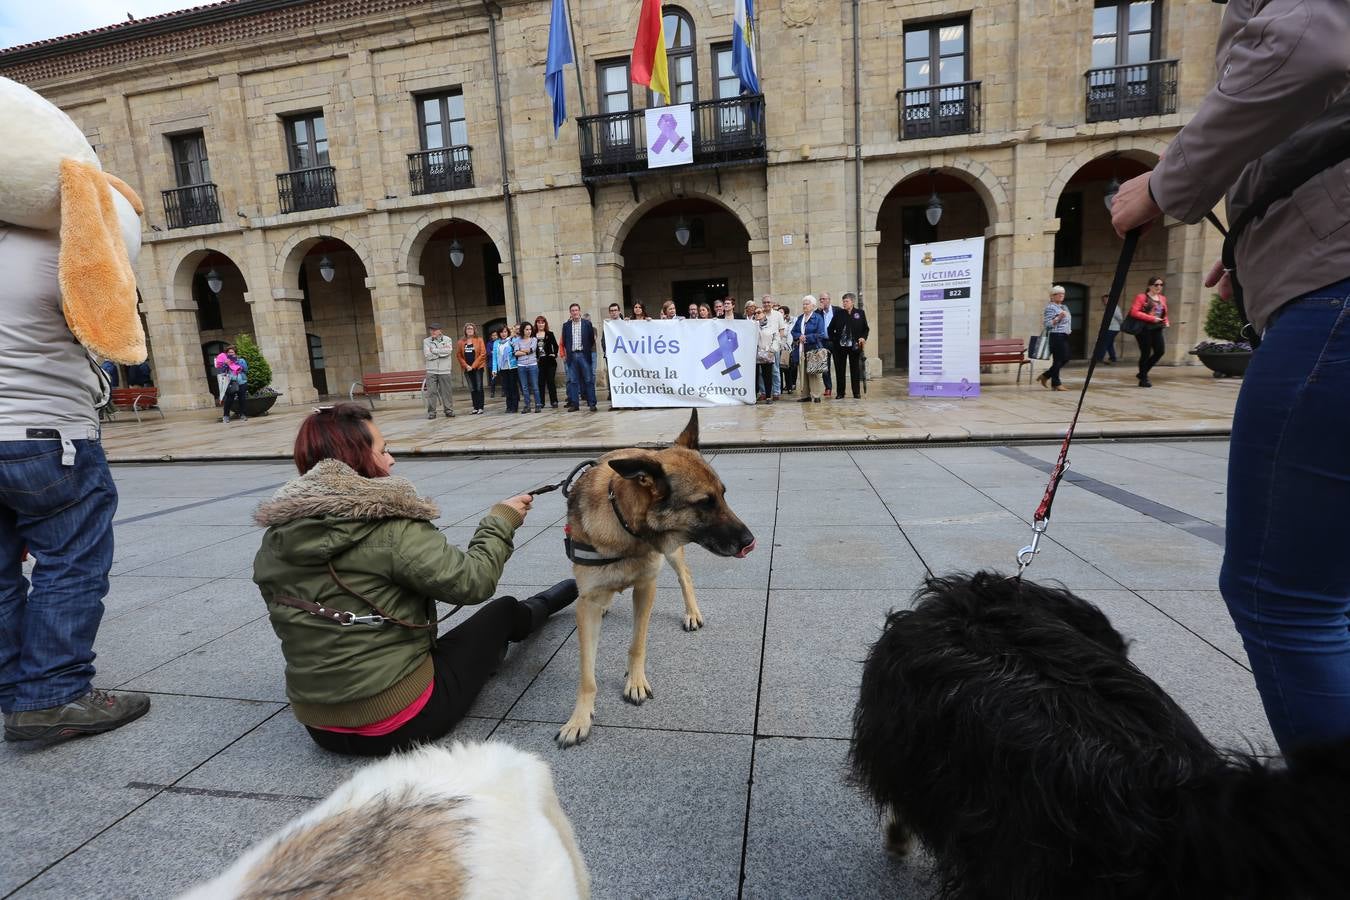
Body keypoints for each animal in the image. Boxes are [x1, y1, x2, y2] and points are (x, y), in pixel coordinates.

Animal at [553, 410, 756, 744]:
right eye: (705, 502)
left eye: (723, 496)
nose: (750, 541)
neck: (624, 526)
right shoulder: (587, 604)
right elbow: (587, 673)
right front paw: (579, 718)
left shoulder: (646, 588)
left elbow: (637, 643)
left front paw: (635, 682)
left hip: (672, 555)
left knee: (685, 575)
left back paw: (692, 612)